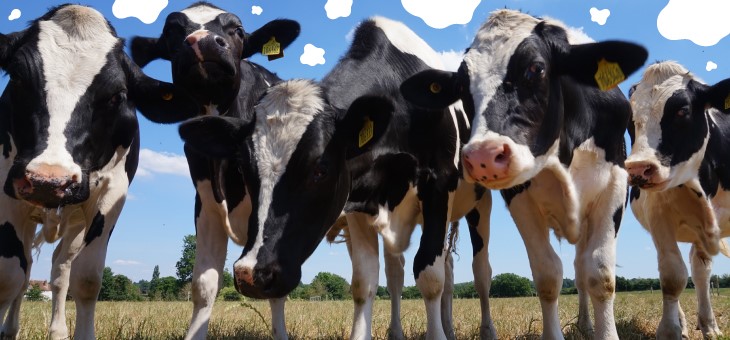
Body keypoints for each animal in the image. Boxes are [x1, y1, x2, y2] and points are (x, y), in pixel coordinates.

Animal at [0, 3, 193, 338]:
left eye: (117, 95)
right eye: (16, 77)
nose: (49, 181)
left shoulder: (111, 194)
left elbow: (87, 279)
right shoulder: (6, 188)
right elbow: (7, 276)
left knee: (59, 268)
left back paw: (57, 330)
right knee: (23, 275)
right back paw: (11, 329)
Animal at [178, 16, 492, 340]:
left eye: (321, 168)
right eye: (244, 168)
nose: (250, 273)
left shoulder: (438, 187)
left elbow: (430, 277)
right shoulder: (360, 202)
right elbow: (365, 281)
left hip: (479, 204)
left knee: (480, 272)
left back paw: (483, 329)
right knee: (409, 271)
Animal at [400, 9, 644, 338]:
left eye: (536, 68)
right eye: (462, 86)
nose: (483, 157)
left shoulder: (613, 187)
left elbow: (599, 274)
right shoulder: (519, 198)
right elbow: (548, 275)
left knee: (582, 267)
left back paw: (586, 324)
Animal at [620, 59, 728, 338]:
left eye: (682, 111)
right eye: (630, 119)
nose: (638, 168)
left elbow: (698, 270)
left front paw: (709, 326)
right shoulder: (659, 216)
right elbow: (672, 276)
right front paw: (670, 330)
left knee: (700, 270)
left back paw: (708, 324)